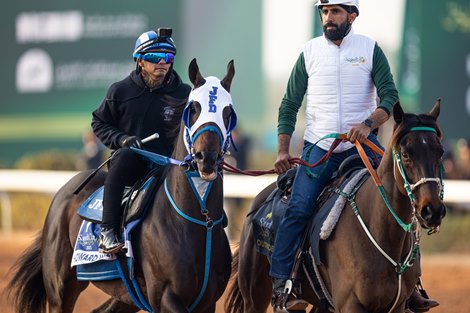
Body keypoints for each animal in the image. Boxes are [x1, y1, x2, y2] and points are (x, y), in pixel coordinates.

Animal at [5, 59, 237, 312]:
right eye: (193, 109)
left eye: (228, 113)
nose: (206, 158)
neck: (199, 221)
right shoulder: (166, 297)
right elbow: (100, 120)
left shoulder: (207, 301)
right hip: (60, 289)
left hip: (124, 294)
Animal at [226, 100, 446, 312]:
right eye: (406, 154)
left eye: (440, 152)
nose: (433, 210)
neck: (381, 233)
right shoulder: (350, 304)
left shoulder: (397, 306)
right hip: (254, 296)